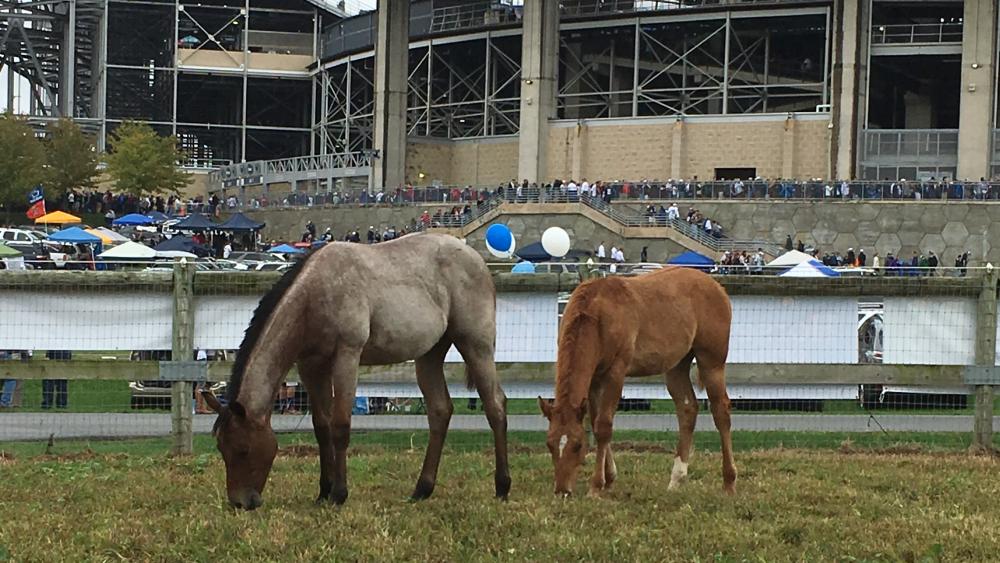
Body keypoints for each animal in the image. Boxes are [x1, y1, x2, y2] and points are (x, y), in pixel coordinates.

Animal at [206, 234, 512, 512]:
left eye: (243, 449)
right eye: (221, 448)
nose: (240, 502)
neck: (314, 295)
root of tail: (477, 259)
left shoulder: (347, 356)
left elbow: (340, 426)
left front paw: (339, 494)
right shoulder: (311, 367)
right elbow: (322, 427)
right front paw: (324, 491)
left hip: (476, 345)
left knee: (495, 406)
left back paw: (502, 486)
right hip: (429, 355)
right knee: (440, 411)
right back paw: (422, 489)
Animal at [540, 266, 736, 496]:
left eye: (578, 445)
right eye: (549, 444)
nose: (562, 491)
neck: (597, 313)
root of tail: (717, 287)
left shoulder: (616, 373)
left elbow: (603, 427)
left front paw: (596, 486)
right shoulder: (594, 379)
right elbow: (595, 422)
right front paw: (609, 478)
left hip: (711, 363)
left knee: (721, 411)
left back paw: (729, 482)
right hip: (677, 366)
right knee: (687, 409)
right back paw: (676, 480)